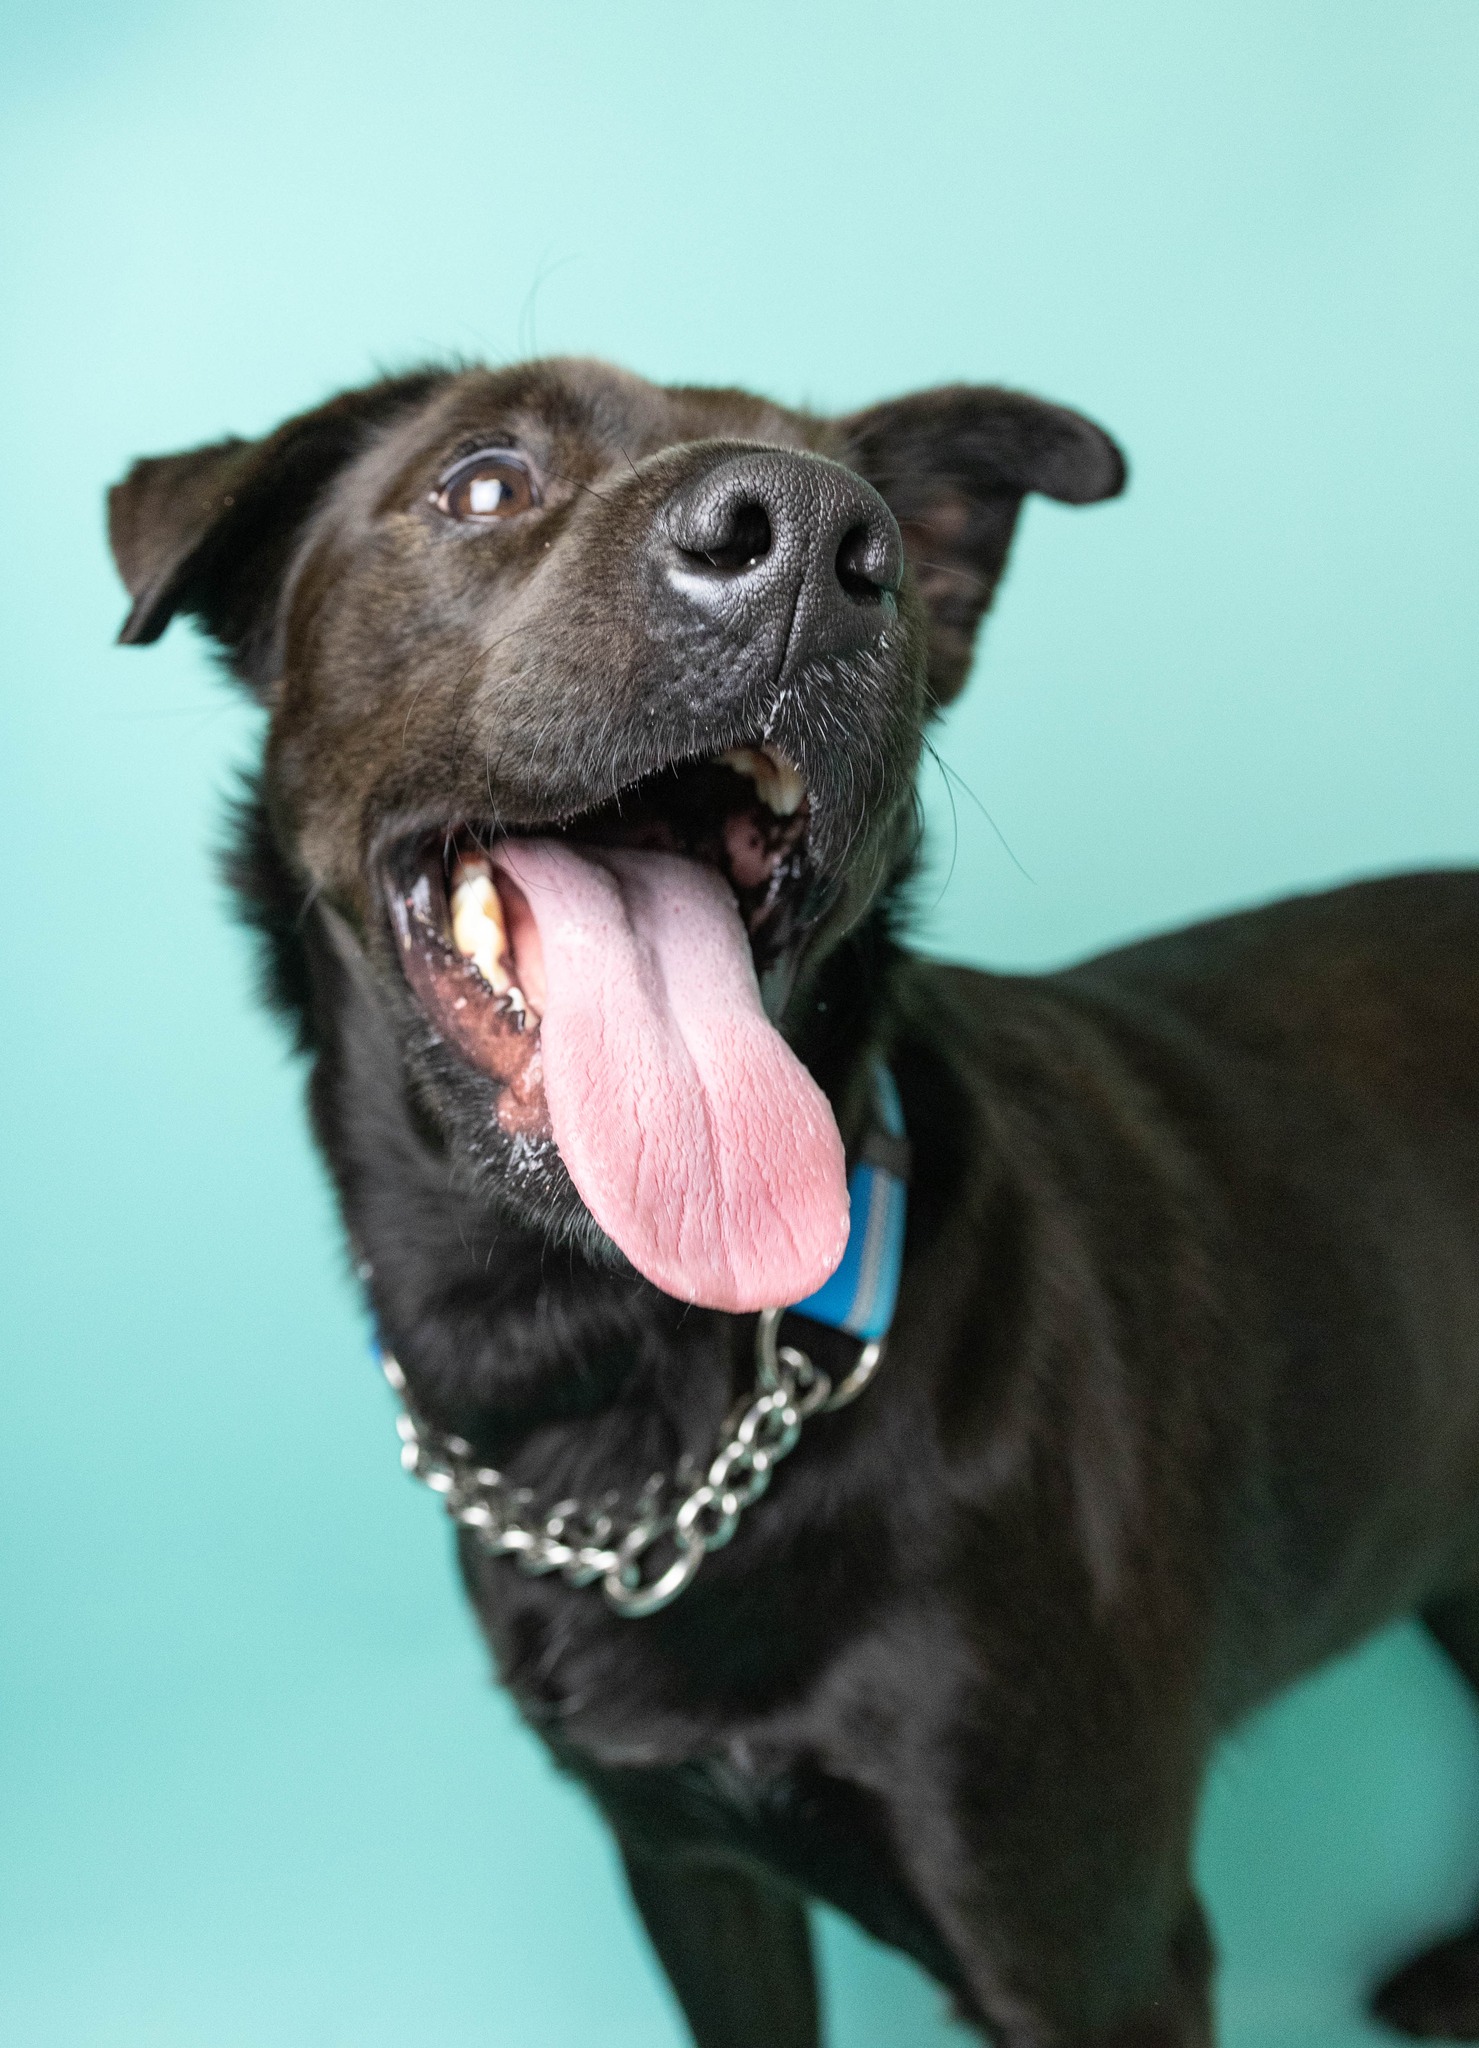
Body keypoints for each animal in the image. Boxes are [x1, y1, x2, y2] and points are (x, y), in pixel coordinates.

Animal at [109, 368, 1474, 2048]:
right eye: (481, 481)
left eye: (873, 527)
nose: (820, 547)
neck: (626, 1383)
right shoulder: (685, 1864)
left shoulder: (1092, 1951)